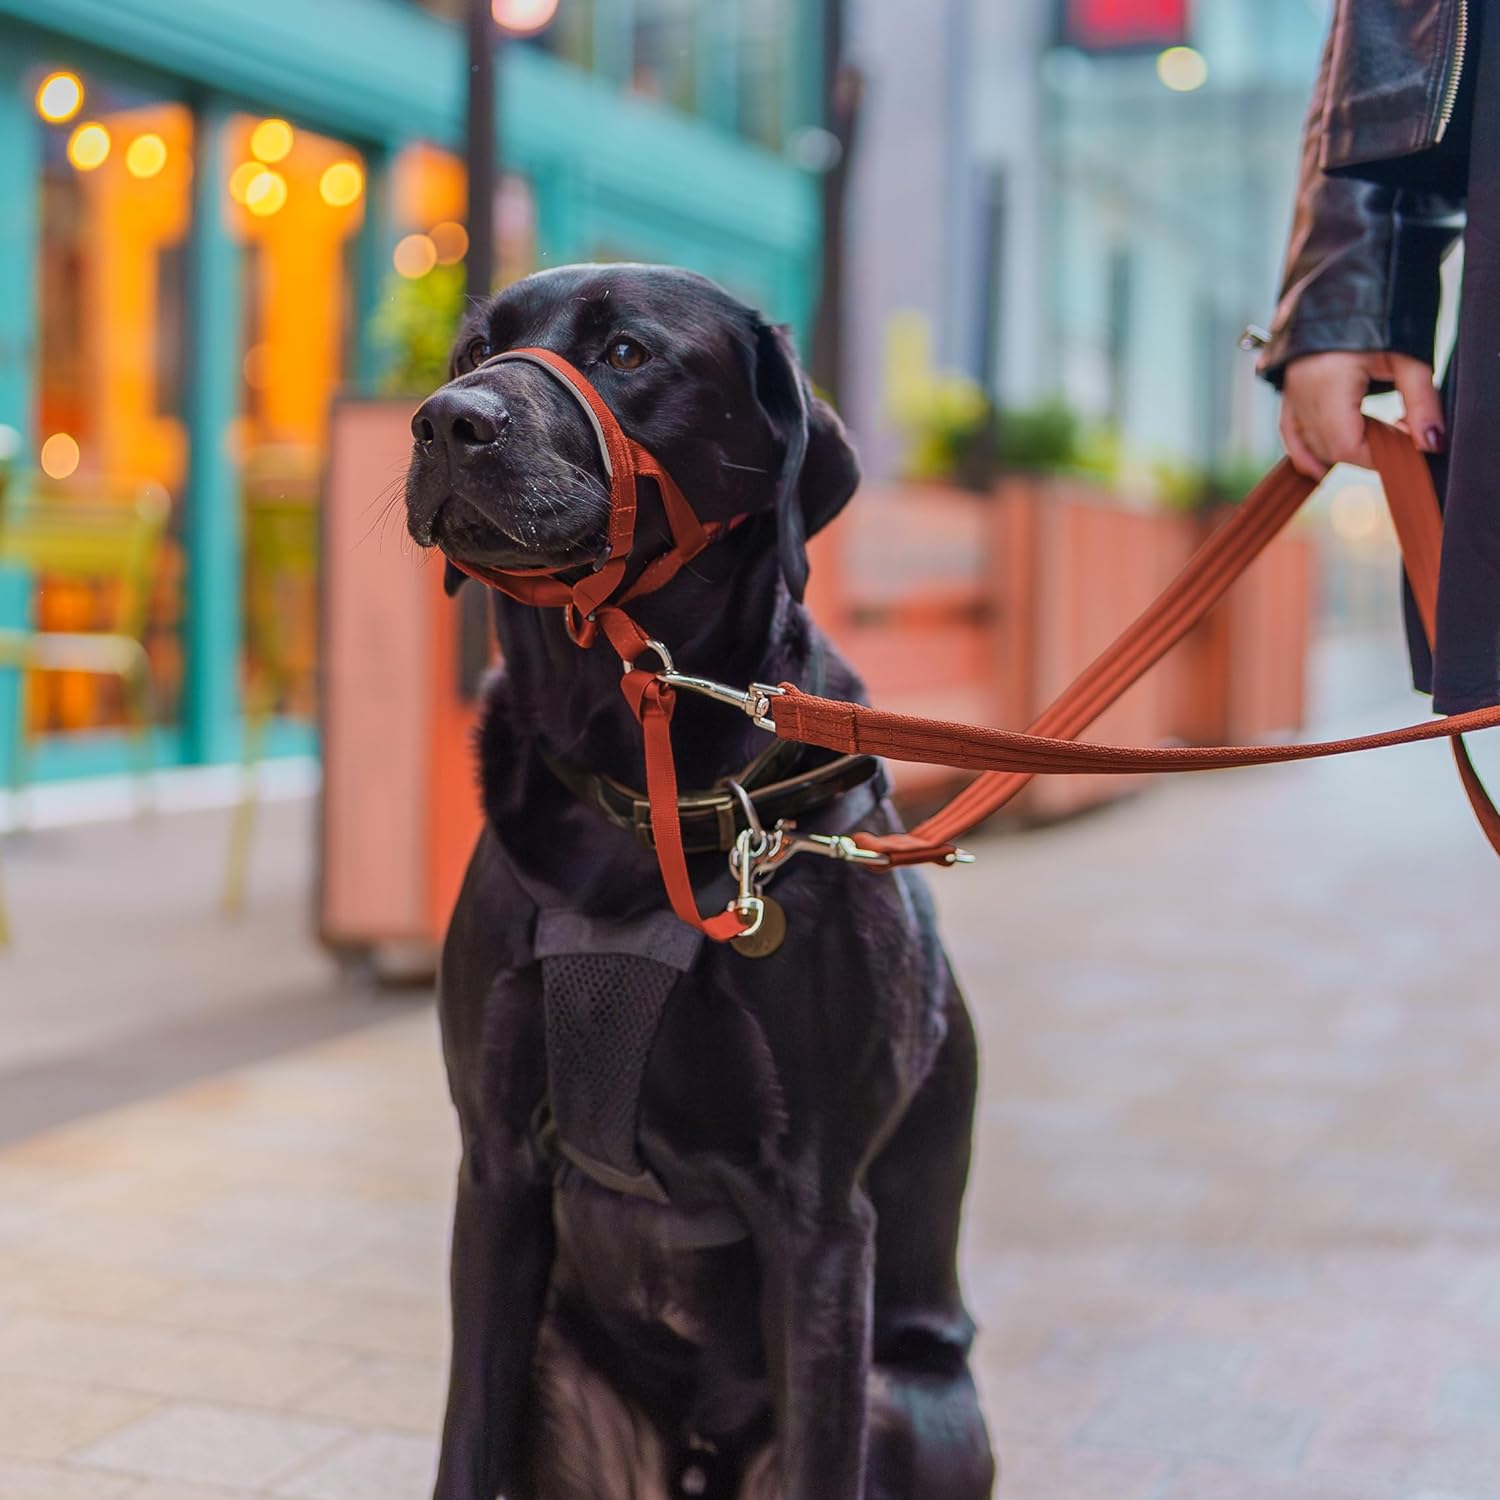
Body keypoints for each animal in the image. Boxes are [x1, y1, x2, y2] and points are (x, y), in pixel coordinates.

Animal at [405, 267, 990, 1500]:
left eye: (628, 352)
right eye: (473, 350)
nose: (445, 422)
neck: (638, 780)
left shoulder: (819, 1218)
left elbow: (820, 1462)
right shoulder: (494, 1167)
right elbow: (462, 1441)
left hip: (905, 1400)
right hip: (560, 1369)